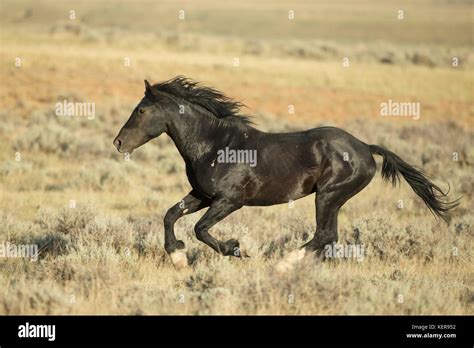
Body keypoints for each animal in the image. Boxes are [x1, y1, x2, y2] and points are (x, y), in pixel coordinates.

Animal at [113, 77, 458, 272]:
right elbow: (170, 215)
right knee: (328, 237)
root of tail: (364, 147)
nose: (118, 143)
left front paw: (235, 249)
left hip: (329, 195)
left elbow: (200, 229)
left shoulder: (230, 200)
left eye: (142, 110)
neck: (214, 144)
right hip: (332, 198)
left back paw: (283, 265)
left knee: (324, 235)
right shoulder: (202, 195)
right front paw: (178, 257)